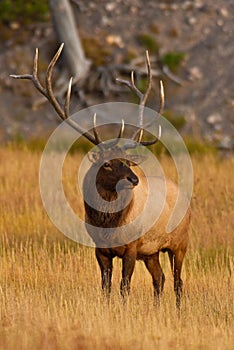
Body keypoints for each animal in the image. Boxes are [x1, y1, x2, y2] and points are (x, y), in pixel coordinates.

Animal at [11, 43, 190, 308]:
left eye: (127, 162)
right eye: (107, 164)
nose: (134, 180)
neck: (108, 225)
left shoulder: (131, 247)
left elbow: (124, 285)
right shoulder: (100, 249)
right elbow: (105, 286)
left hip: (179, 243)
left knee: (178, 281)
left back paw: (177, 311)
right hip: (152, 251)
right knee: (160, 278)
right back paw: (157, 308)